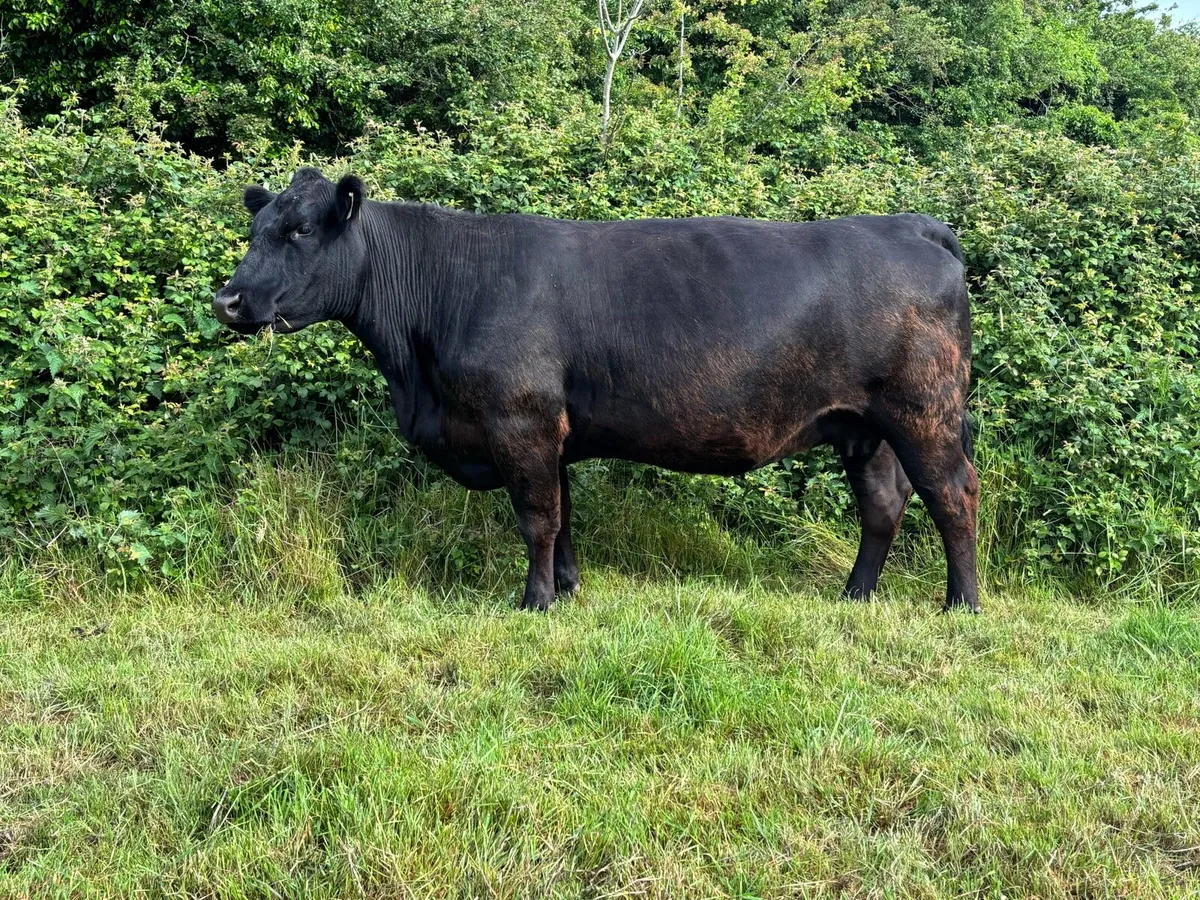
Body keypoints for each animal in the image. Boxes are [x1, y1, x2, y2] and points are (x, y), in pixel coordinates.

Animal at [213, 167, 980, 613]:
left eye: (300, 229)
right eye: (254, 228)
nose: (228, 300)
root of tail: (909, 224)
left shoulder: (519, 422)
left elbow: (536, 518)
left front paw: (535, 602)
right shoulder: (552, 431)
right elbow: (564, 516)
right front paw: (569, 587)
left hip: (924, 410)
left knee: (953, 494)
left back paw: (962, 604)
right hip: (866, 424)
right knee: (884, 502)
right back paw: (855, 596)